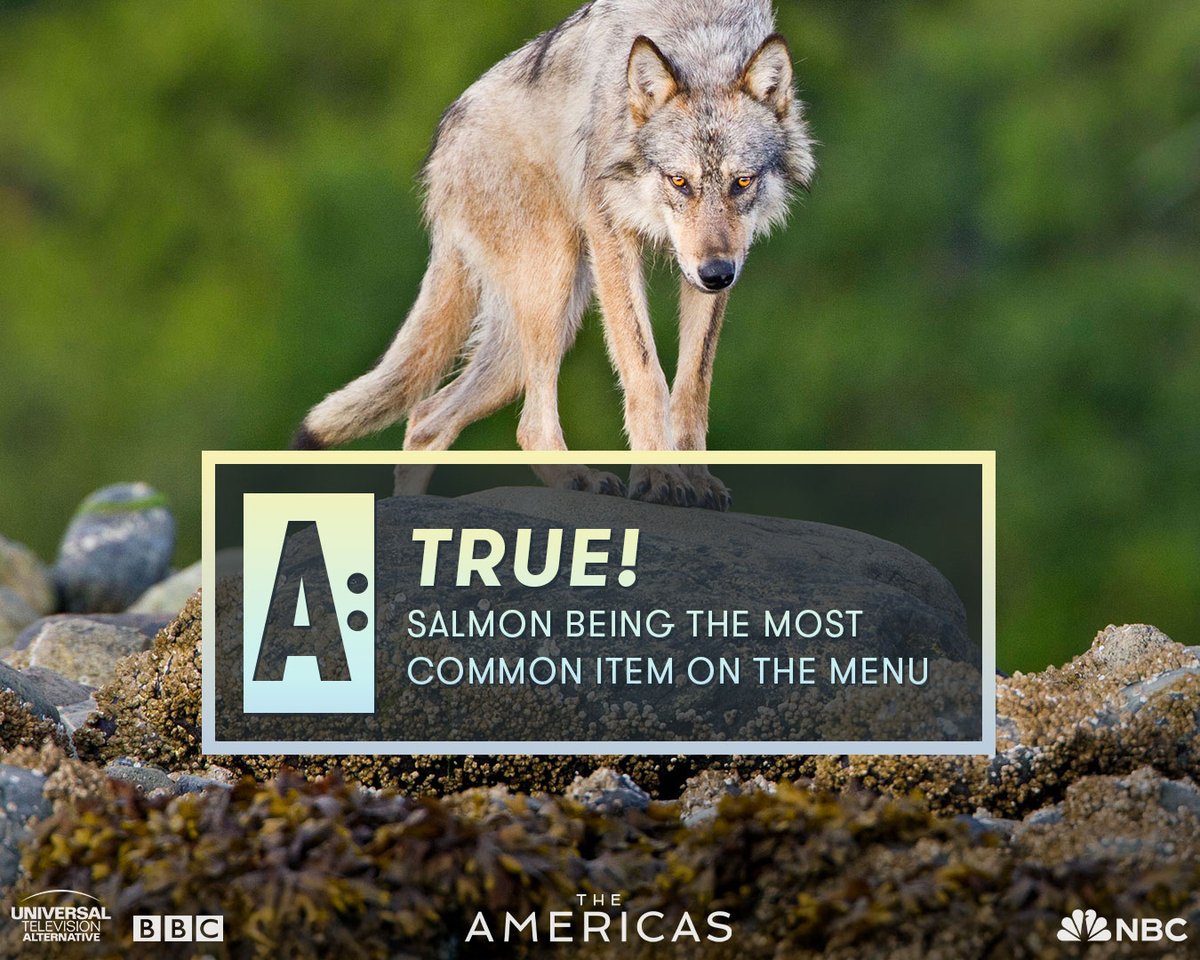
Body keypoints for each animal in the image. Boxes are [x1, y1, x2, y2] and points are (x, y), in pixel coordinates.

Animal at [292, 0, 815, 508]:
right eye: (679, 181)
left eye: (741, 182)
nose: (716, 274)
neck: (700, 37)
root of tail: (442, 144)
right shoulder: (612, 233)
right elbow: (646, 376)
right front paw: (659, 480)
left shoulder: (715, 266)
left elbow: (692, 387)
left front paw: (697, 482)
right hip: (552, 283)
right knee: (528, 424)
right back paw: (577, 479)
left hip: (541, 331)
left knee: (426, 417)